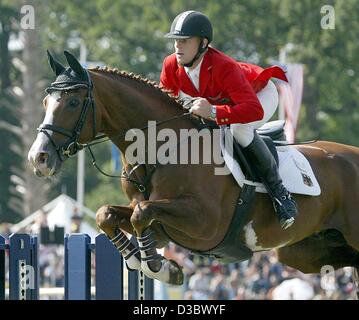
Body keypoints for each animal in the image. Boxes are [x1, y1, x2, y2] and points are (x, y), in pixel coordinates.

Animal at [28, 50, 359, 298]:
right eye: (44, 102)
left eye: (73, 102)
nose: (38, 158)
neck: (160, 150)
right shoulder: (161, 225)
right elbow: (108, 215)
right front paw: (144, 260)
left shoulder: (205, 223)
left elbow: (141, 214)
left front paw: (161, 268)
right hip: (300, 252)